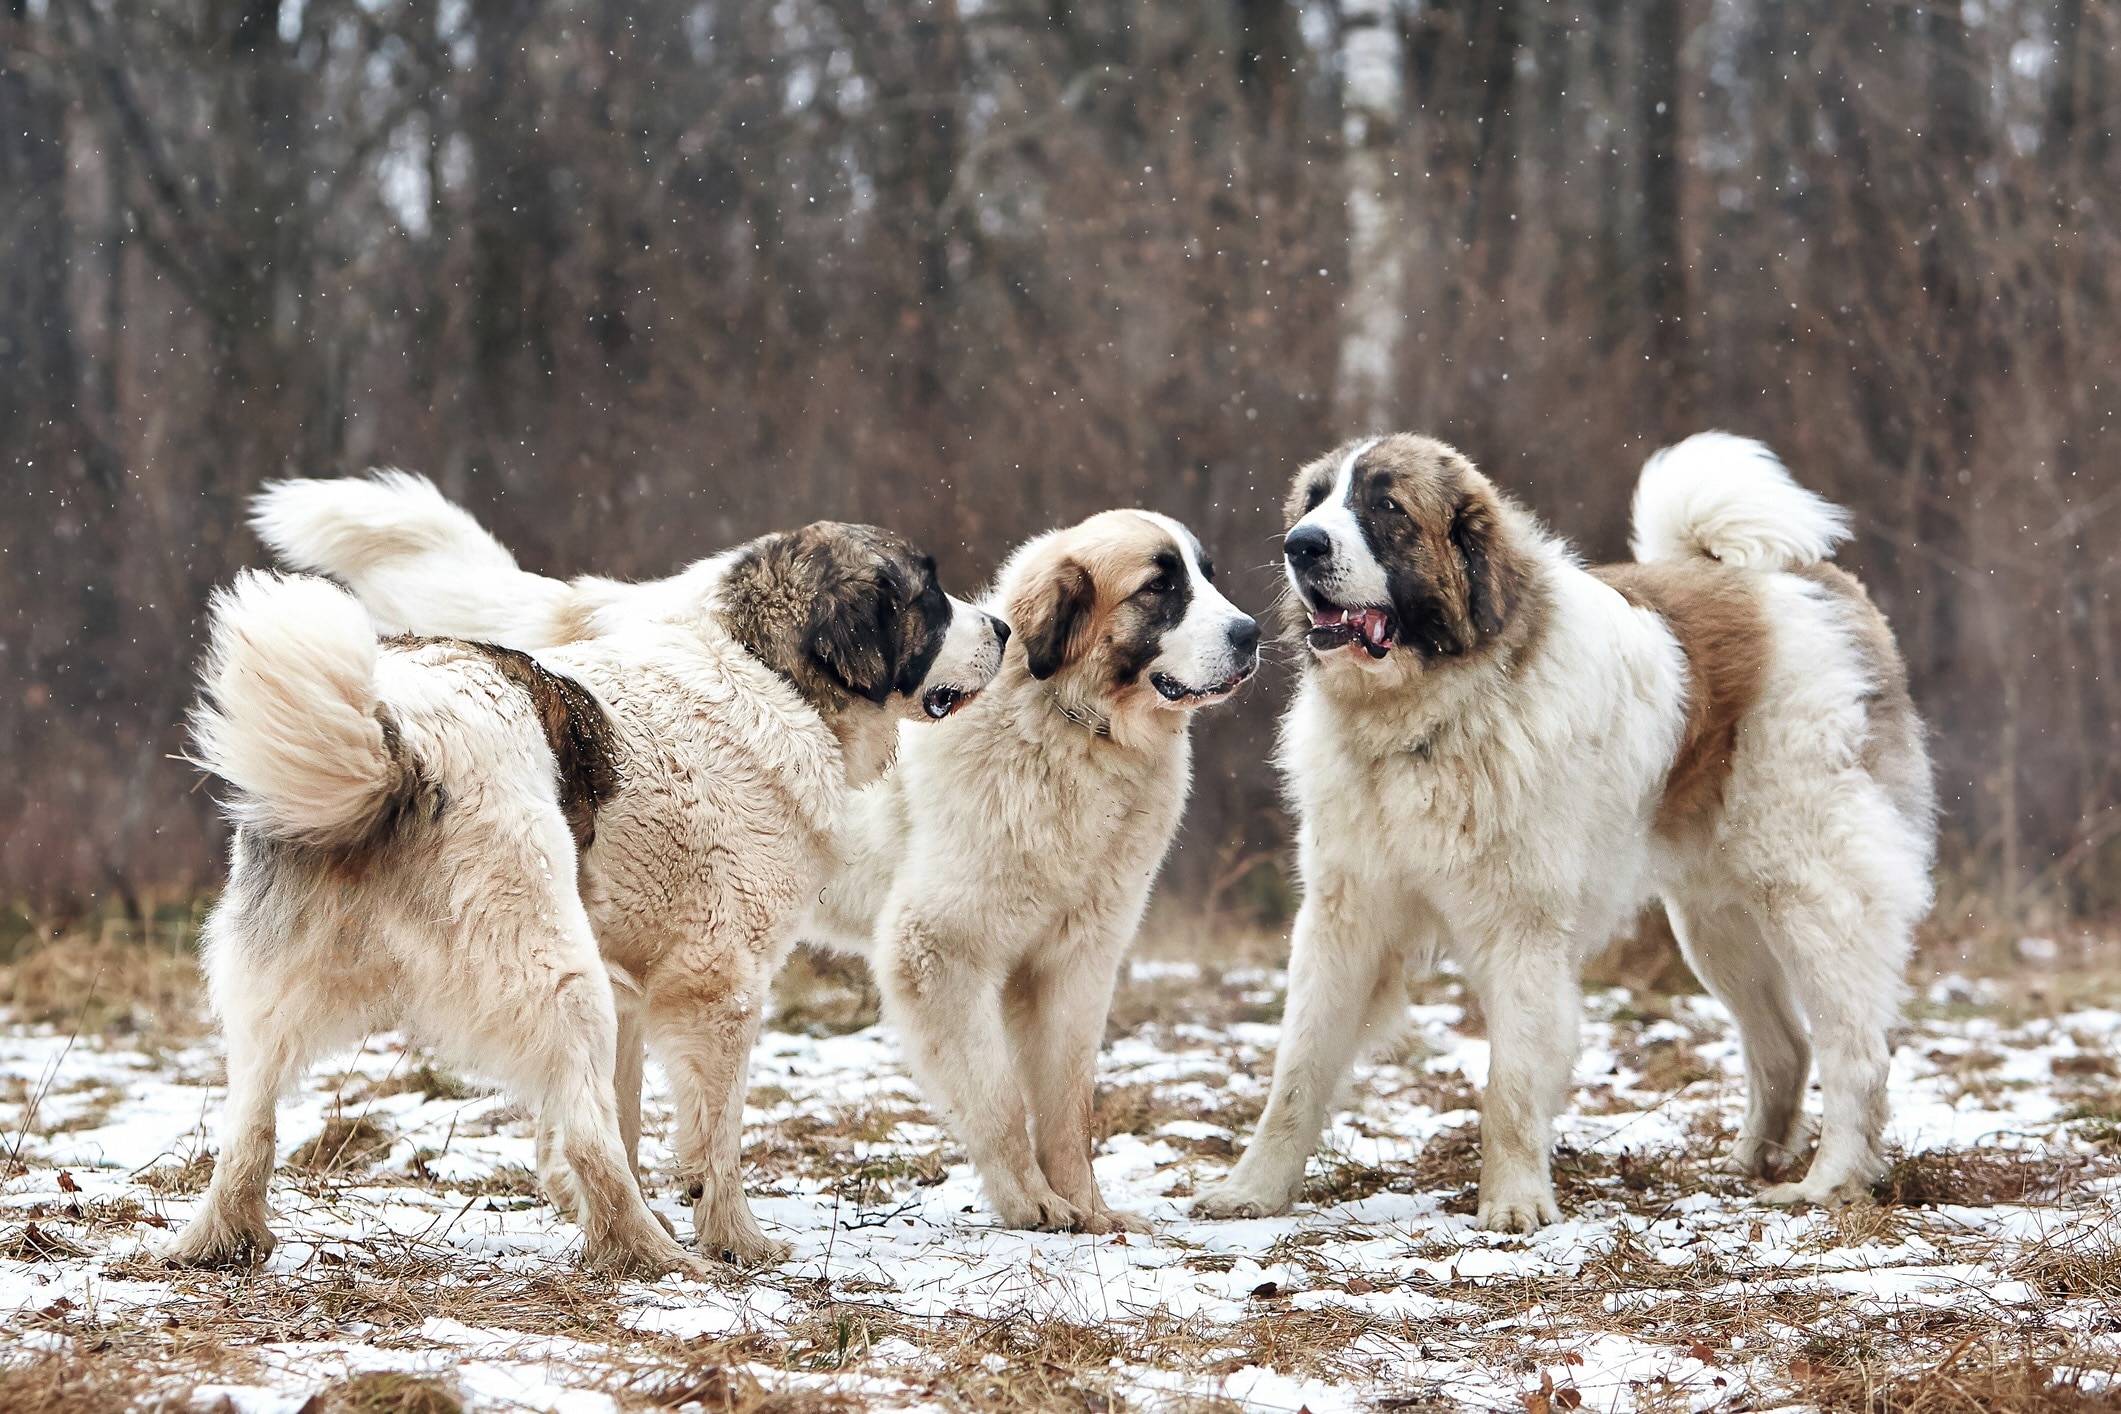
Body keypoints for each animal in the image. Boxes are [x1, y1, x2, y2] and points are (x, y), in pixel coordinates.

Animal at [167, 491, 1001, 1280]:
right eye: (928, 596)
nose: (1000, 629)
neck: (768, 671)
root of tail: (394, 738)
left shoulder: (635, 990)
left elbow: (626, 1118)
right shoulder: (717, 984)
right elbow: (711, 1138)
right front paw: (736, 1240)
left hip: (277, 984)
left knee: (249, 1123)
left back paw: (222, 1241)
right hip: (558, 975)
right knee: (589, 1132)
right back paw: (649, 1252)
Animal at [797, 508, 1255, 1229]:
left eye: (1207, 575)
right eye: (1159, 587)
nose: (1252, 633)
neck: (1075, 731)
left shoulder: (1074, 963)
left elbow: (1068, 1107)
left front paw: (1090, 1210)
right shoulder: (941, 950)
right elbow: (998, 1100)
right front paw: (1030, 1202)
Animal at [1196, 436, 1942, 1229]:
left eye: (1386, 507)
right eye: (1312, 502)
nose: (1300, 545)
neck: (1431, 719)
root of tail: (1805, 580)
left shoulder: (1522, 930)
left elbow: (1512, 1085)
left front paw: (1514, 1204)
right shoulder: (1346, 920)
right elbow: (1298, 1072)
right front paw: (1252, 1191)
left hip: (1809, 895)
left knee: (1854, 1051)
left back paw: (1828, 1184)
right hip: (1716, 925)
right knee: (1783, 1047)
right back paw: (1745, 1165)